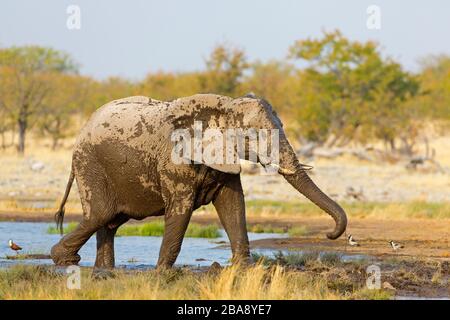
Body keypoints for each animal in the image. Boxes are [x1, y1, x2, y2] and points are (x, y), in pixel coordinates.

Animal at [50, 93, 348, 270]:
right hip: (89, 163)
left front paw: (244, 269)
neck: (225, 108)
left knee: (111, 220)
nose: (330, 234)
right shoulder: (175, 162)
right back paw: (64, 260)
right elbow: (181, 210)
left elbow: (233, 205)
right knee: (101, 213)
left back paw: (104, 270)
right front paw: (163, 273)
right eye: (251, 136)